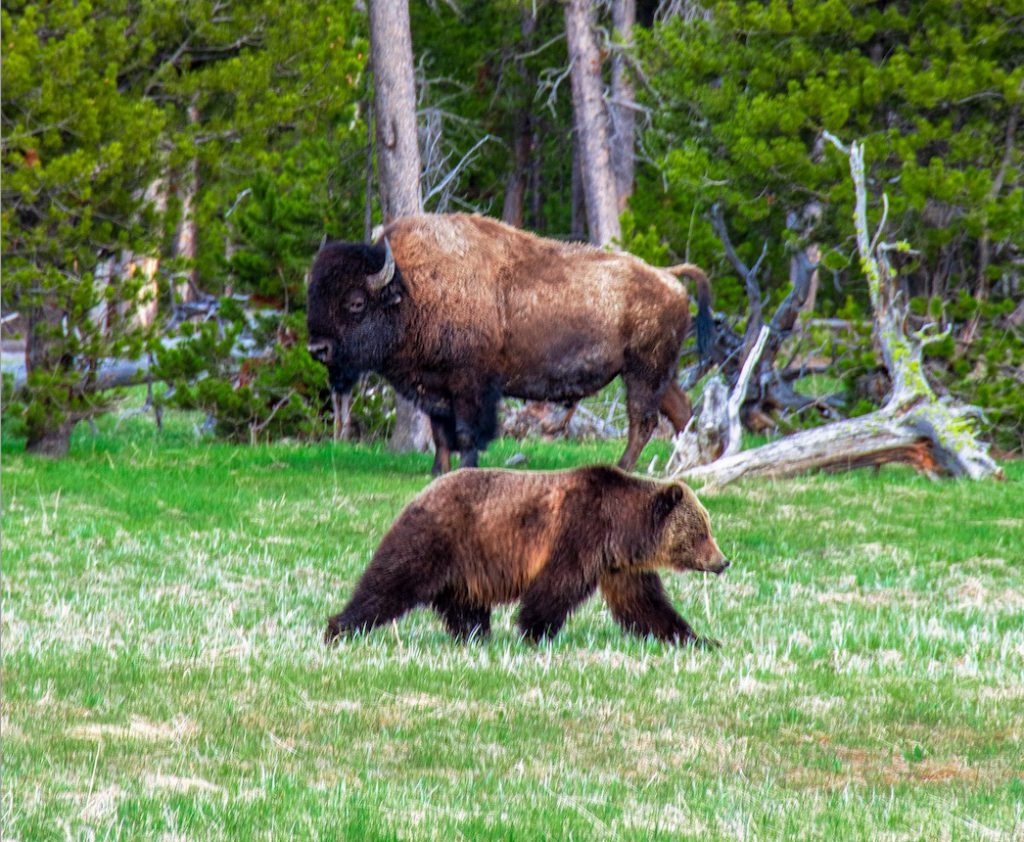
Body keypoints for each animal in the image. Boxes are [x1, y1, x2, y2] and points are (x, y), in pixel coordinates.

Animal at [305, 213, 712, 475]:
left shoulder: (469, 384)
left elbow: (467, 431)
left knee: (642, 419)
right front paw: (438, 471)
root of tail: (667, 276)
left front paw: (465, 468)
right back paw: (692, 465)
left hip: (642, 371)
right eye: (313, 295)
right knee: (680, 411)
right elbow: (440, 433)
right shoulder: (433, 386)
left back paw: (625, 468)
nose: (317, 350)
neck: (413, 289)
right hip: (659, 373)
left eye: (356, 303)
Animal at [323, 469, 733, 647]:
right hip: (440, 537)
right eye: (702, 532)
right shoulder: (579, 531)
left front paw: (698, 639)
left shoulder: (619, 565)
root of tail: (420, 493)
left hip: (466, 563)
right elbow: (555, 587)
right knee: (390, 583)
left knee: (463, 604)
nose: (723, 561)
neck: (621, 526)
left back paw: (475, 636)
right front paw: (535, 632)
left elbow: (645, 604)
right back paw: (338, 628)